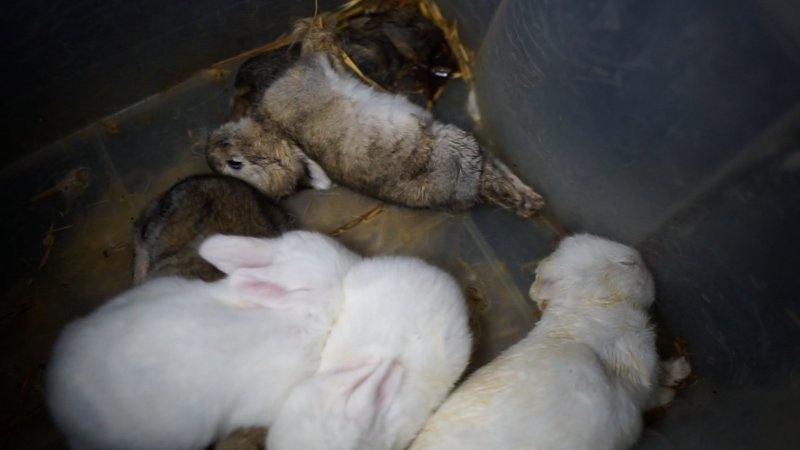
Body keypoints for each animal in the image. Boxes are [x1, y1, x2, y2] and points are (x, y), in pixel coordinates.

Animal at [410, 236, 692, 450]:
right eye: (627, 262)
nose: (639, 256)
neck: (592, 302)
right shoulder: (641, 364)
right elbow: (654, 387)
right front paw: (680, 375)